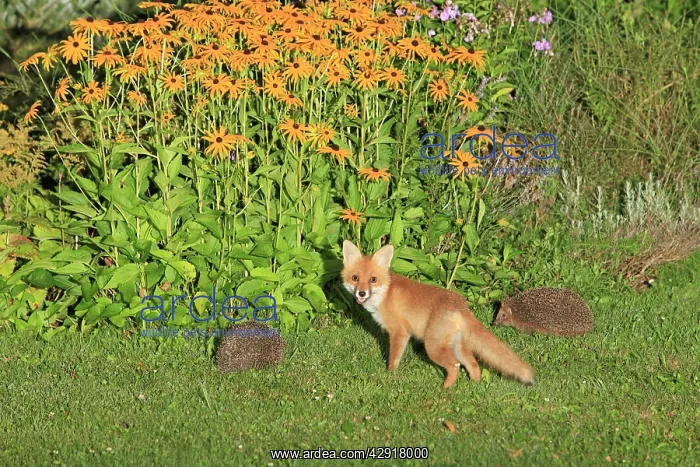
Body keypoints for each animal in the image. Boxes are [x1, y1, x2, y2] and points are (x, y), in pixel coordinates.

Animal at [341, 240, 536, 388]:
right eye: (355, 278)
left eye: (373, 279)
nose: (361, 294)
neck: (384, 294)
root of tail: (460, 304)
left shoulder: (400, 332)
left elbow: (393, 359)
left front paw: (390, 375)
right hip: (455, 345)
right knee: (473, 364)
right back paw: (474, 386)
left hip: (433, 347)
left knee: (455, 366)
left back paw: (445, 389)